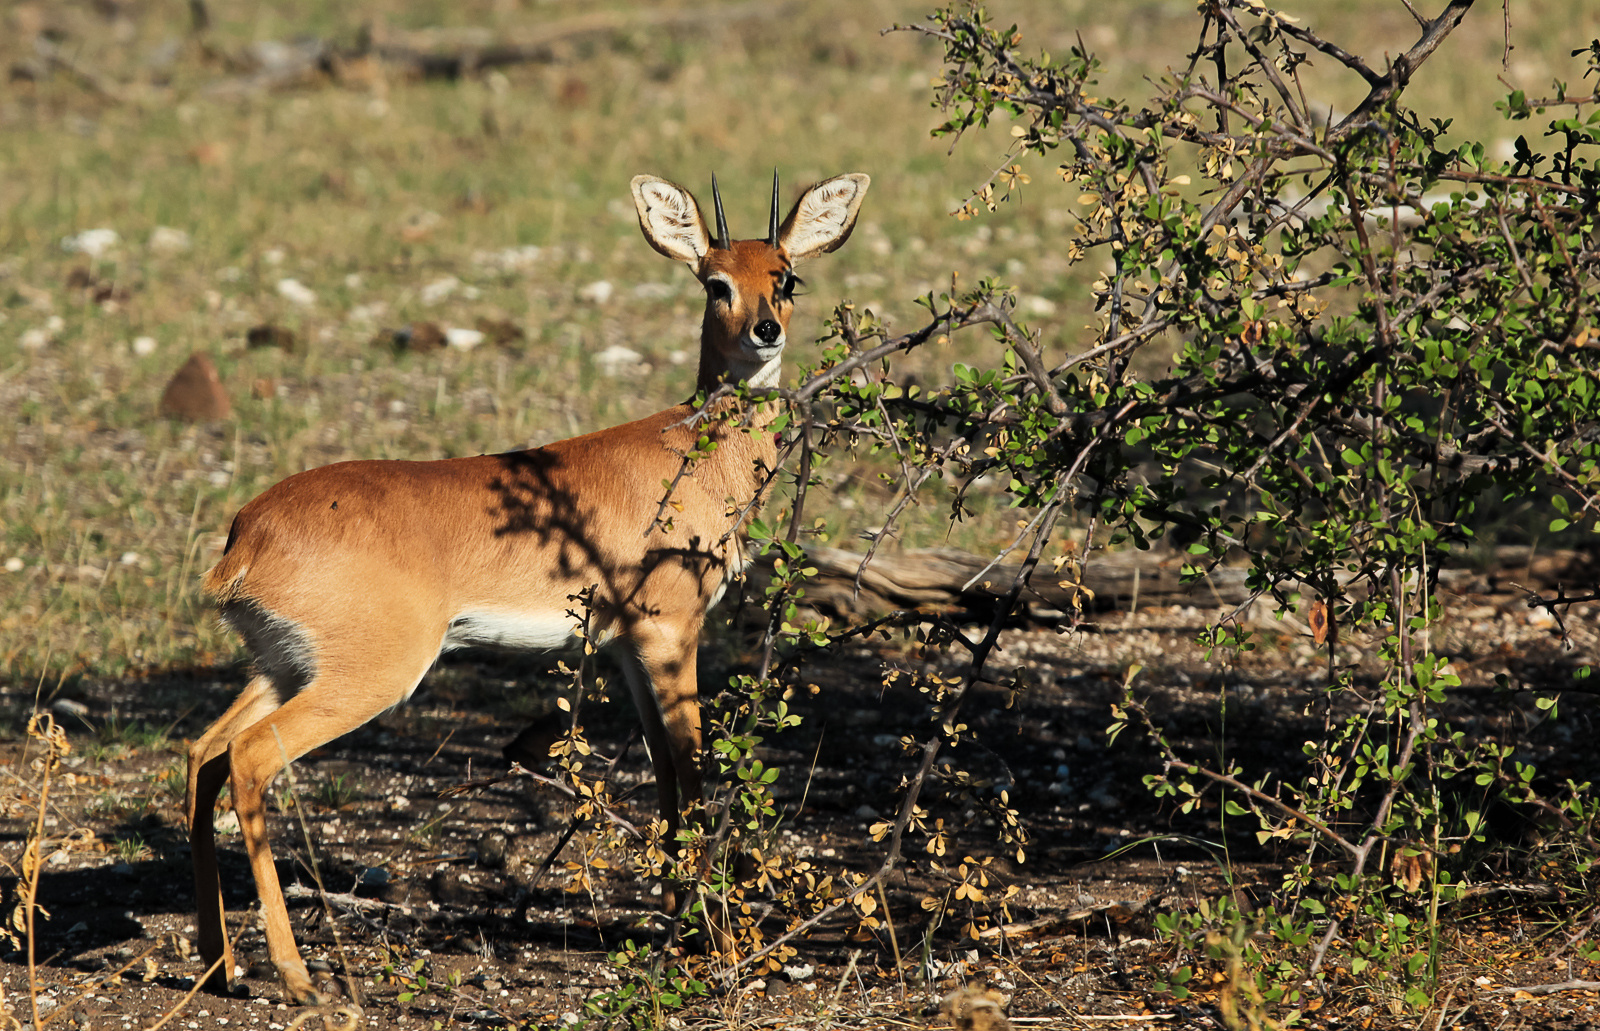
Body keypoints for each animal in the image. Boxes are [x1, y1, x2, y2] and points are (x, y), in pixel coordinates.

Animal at [190, 172, 876, 1005]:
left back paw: (220, 962)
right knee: (250, 758)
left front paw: (677, 919)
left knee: (204, 752)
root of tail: (245, 536)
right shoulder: (670, 630)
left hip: (282, 668)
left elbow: (666, 772)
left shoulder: (625, 649)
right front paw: (709, 938)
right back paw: (295, 976)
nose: (766, 329)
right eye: (716, 282)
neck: (695, 453)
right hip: (367, 677)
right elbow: (693, 767)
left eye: (786, 276)